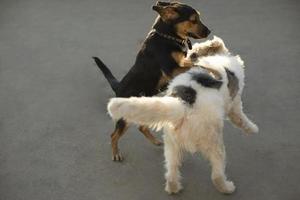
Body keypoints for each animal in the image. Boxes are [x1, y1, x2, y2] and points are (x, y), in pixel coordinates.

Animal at [92, 1, 210, 161]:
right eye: (193, 20)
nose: (209, 31)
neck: (167, 37)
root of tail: (119, 87)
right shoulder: (171, 69)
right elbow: (195, 65)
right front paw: (208, 68)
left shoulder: (180, 63)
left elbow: (193, 62)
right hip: (125, 118)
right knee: (114, 135)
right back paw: (116, 153)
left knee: (142, 127)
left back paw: (155, 141)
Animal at [106, 36, 258, 195]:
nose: (191, 54)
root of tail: (183, 104)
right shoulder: (235, 104)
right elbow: (241, 119)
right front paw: (253, 129)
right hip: (215, 143)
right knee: (216, 175)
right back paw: (227, 188)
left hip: (171, 144)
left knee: (171, 172)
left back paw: (173, 188)